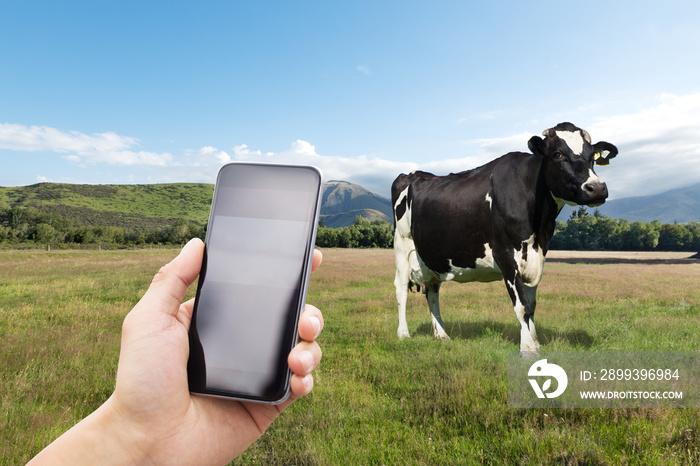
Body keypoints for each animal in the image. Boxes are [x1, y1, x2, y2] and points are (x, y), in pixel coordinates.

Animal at [394, 121, 616, 356]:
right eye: (558, 154)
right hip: (402, 245)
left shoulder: (538, 255)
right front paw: (528, 348)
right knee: (401, 288)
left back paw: (442, 335)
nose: (597, 188)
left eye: (592, 156)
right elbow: (522, 306)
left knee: (433, 291)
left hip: (431, 255)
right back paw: (403, 334)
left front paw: (535, 341)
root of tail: (416, 174)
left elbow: (531, 304)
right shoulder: (506, 255)